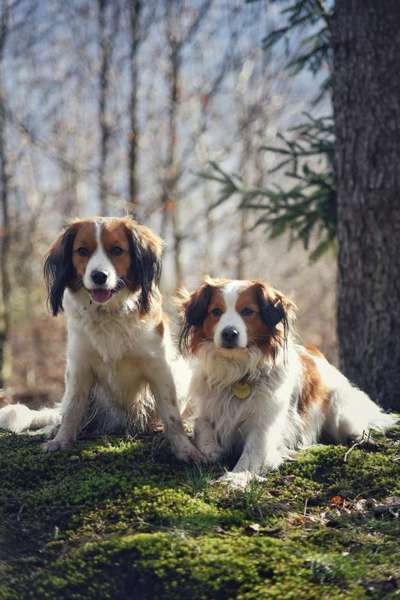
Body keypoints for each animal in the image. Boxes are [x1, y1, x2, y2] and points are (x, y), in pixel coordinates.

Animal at [0, 217, 202, 464]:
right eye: (82, 251)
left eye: (117, 250)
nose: (99, 276)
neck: (108, 313)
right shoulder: (78, 367)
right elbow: (72, 409)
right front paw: (62, 440)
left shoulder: (159, 367)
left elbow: (172, 415)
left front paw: (184, 448)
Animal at [178, 276, 396, 488]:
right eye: (216, 311)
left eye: (248, 311)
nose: (229, 333)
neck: (238, 373)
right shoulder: (206, 411)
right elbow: (203, 430)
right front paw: (210, 450)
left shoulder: (264, 426)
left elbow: (251, 455)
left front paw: (236, 478)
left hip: (339, 409)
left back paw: (359, 439)